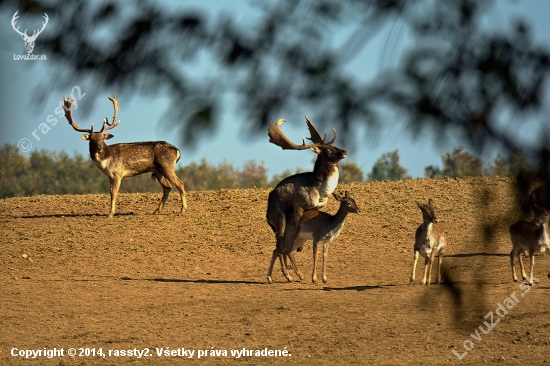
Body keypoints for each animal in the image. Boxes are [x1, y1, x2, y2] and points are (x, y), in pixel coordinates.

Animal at [266, 117, 348, 284]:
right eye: (327, 150)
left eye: (333, 145)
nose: (344, 151)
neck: (320, 190)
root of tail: (267, 213)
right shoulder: (299, 205)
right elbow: (295, 232)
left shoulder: (316, 208)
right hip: (280, 219)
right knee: (280, 244)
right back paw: (291, 274)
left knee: (279, 245)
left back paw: (288, 274)